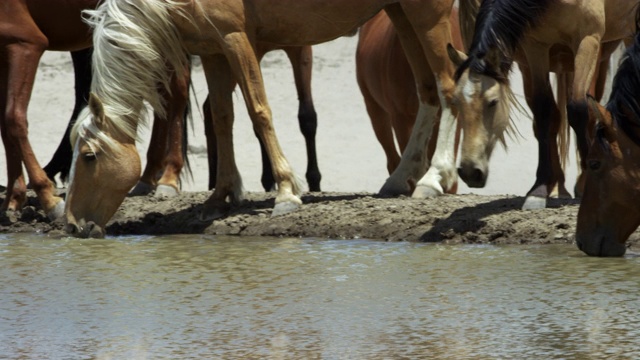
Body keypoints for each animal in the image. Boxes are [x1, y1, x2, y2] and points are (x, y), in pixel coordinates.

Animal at [450, 0, 636, 210]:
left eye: (493, 102)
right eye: (456, 101)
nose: (469, 171)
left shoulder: (588, 38)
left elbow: (578, 109)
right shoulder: (536, 48)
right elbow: (544, 112)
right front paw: (539, 190)